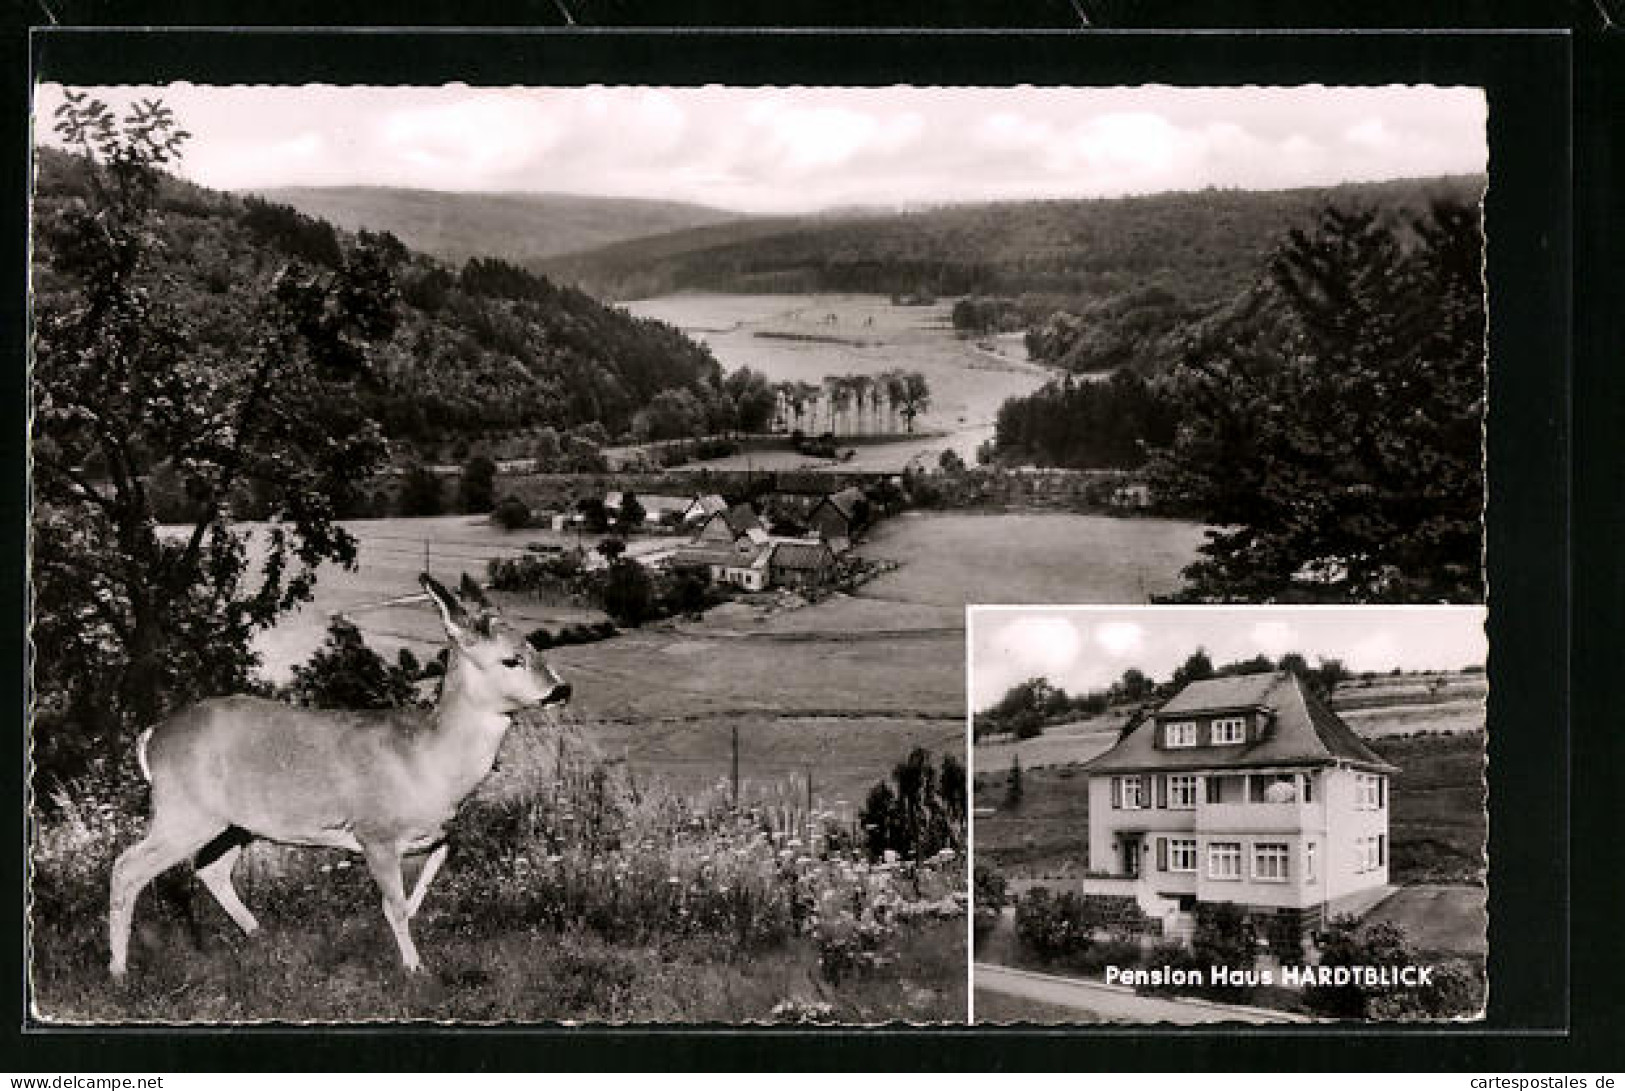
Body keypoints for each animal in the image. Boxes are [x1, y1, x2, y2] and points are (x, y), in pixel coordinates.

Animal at [108, 575, 572, 975]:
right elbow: (393, 903)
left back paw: (264, 938)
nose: (561, 689)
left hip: (233, 822)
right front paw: (415, 968)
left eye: (536, 646)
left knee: (211, 869)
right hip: (183, 810)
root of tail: (152, 738)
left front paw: (412, 929)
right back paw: (118, 970)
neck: (428, 761)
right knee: (127, 868)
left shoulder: (436, 831)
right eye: (511, 659)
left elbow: (427, 873)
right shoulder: (375, 832)